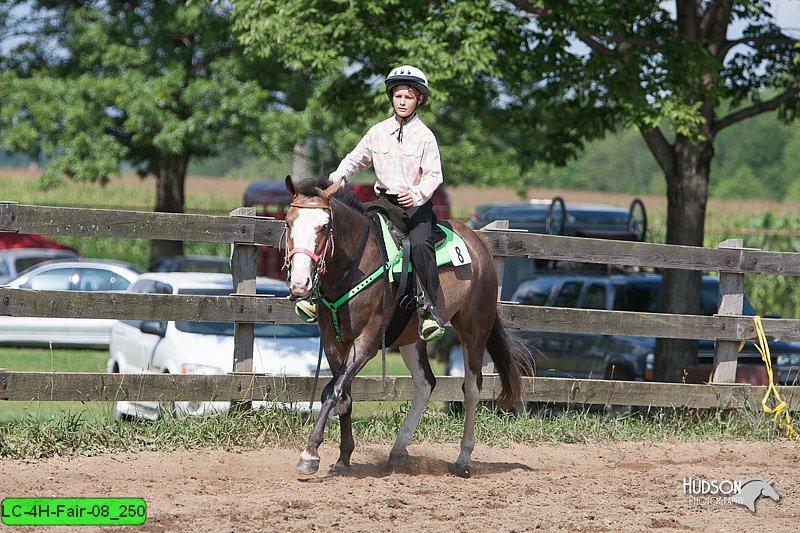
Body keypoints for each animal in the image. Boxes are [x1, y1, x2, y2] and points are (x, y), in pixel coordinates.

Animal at [282, 176, 532, 478]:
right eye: (288, 223)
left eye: (324, 227)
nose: (299, 284)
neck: (355, 263)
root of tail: (478, 243)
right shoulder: (332, 342)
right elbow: (343, 395)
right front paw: (344, 457)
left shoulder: (366, 342)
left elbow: (333, 390)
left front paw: (310, 454)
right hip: (412, 337)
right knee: (425, 383)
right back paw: (399, 449)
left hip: (475, 328)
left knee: (472, 389)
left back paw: (463, 459)